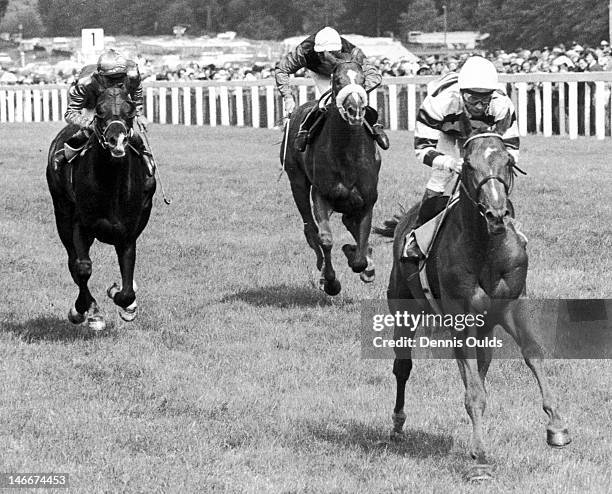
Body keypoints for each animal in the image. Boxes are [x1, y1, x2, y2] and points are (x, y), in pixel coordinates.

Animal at [47, 88, 155, 332]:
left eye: (130, 111)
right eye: (99, 111)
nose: (117, 139)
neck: (111, 185)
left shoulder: (127, 234)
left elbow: (127, 287)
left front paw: (125, 302)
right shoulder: (81, 225)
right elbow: (82, 268)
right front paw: (84, 312)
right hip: (62, 213)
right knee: (73, 261)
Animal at [280, 59, 378, 296]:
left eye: (363, 80)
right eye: (338, 81)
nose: (355, 110)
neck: (347, 154)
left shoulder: (367, 201)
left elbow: (362, 244)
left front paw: (362, 261)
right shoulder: (321, 195)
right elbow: (325, 239)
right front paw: (331, 281)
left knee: (348, 222)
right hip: (297, 182)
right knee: (310, 229)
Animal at [376, 118, 572, 478]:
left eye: (507, 161)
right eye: (468, 165)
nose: (496, 214)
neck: (486, 249)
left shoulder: (512, 306)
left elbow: (532, 353)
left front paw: (557, 427)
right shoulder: (460, 318)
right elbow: (473, 393)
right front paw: (480, 454)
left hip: (485, 329)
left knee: (480, 368)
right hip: (402, 307)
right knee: (403, 365)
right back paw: (397, 424)